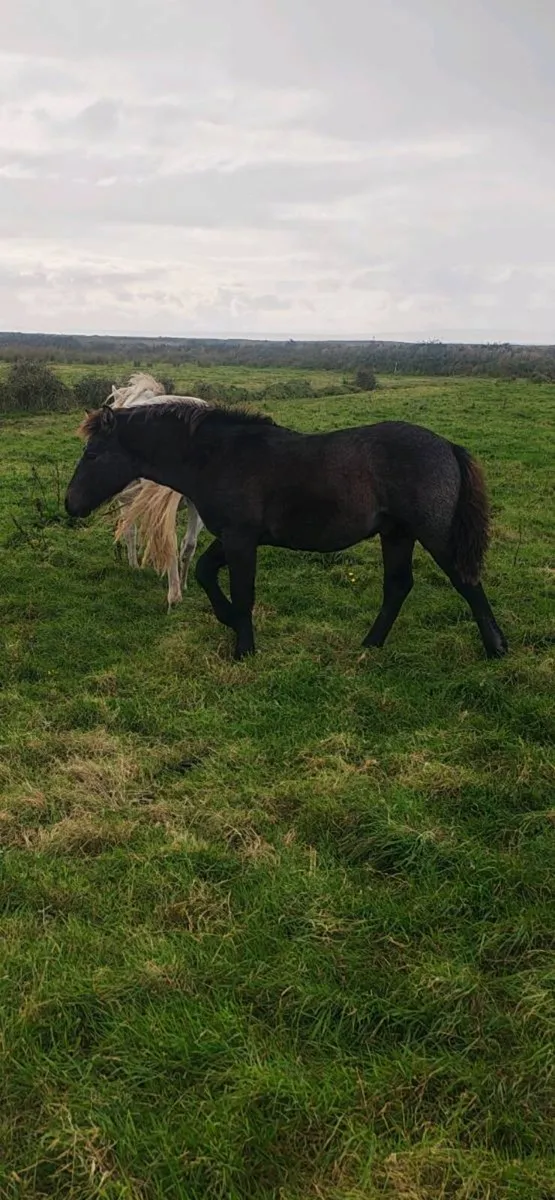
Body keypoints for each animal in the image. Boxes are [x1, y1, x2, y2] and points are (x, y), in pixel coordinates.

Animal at [65, 401, 508, 662]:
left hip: (432, 534)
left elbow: (243, 592)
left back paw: (496, 647)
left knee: (465, 581)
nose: (70, 504)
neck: (218, 456)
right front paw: (228, 620)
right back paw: (370, 645)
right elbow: (207, 572)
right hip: (396, 534)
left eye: (93, 453)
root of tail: (447, 446)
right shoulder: (232, 537)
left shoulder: (241, 540)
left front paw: (243, 649)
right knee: (398, 586)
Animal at [104, 374, 207, 608]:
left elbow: (129, 531)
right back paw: (183, 584)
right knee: (189, 543)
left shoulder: (127, 498)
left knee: (170, 539)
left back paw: (174, 595)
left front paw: (133, 565)